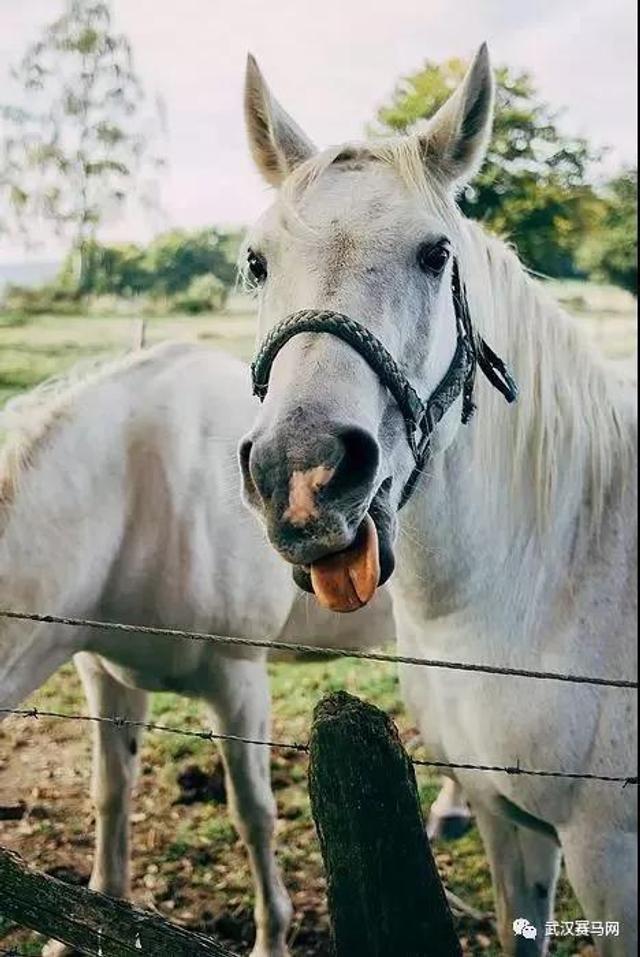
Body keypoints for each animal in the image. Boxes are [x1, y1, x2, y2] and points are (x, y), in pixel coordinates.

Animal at [0, 344, 402, 956]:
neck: (134, 497)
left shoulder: (238, 685)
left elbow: (253, 814)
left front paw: (271, 940)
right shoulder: (106, 674)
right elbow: (110, 791)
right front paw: (90, 919)